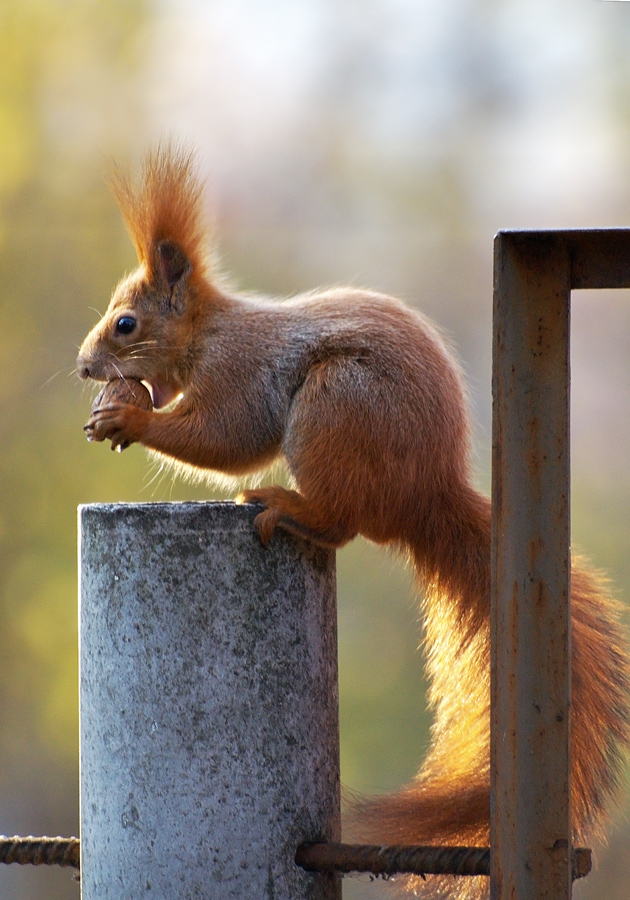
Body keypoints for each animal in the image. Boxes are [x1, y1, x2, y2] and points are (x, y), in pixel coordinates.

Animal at [76, 149, 628, 900]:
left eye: (126, 324)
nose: (84, 367)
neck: (209, 333)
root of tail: (427, 497)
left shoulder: (240, 372)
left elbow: (229, 436)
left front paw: (129, 416)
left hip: (335, 407)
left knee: (340, 523)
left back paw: (285, 507)